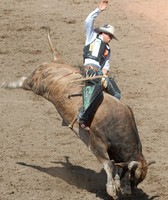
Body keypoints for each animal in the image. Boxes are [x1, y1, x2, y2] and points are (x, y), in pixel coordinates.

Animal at [0, 27, 155, 199]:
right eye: (132, 177)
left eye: (139, 180)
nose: (129, 193)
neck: (116, 123)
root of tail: (56, 62)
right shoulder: (96, 142)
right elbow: (108, 164)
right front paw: (112, 190)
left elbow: (114, 166)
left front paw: (116, 185)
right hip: (36, 84)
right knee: (23, 81)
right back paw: (6, 84)